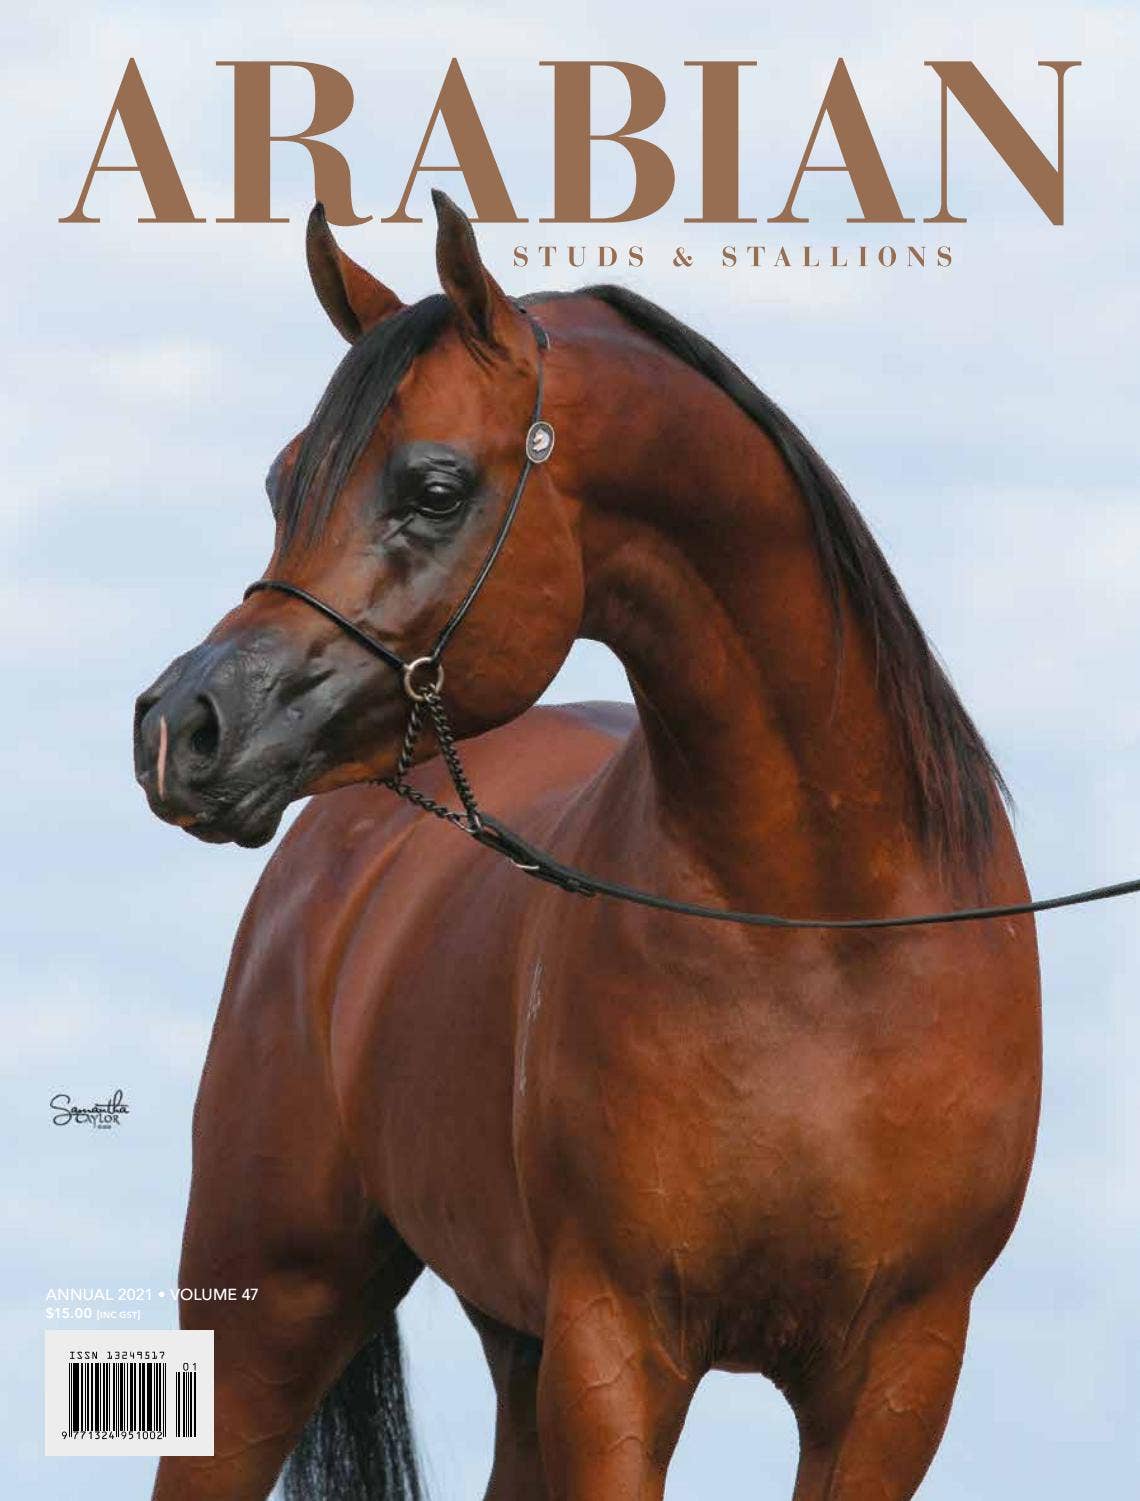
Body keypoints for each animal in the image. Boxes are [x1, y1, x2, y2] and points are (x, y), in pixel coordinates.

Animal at [134, 191, 1041, 1501]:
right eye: (282, 479)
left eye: (437, 486)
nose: (183, 726)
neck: (817, 933)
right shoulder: (616, 1346)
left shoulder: (899, 1373)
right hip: (269, 1304)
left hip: (508, 1344)